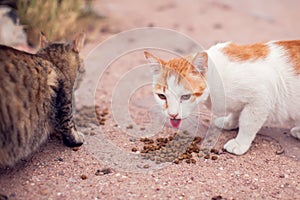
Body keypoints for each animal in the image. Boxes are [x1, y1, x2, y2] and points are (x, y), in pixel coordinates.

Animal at [144, 39, 300, 155]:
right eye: (161, 96)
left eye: (186, 96)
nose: (172, 114)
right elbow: (236, 112)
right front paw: (230, 122)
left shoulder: (261, 97)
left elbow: (247, 122)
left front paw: (240, 142)